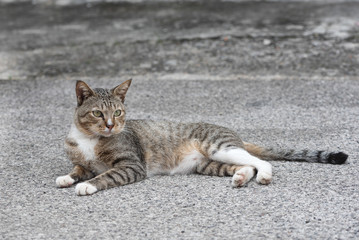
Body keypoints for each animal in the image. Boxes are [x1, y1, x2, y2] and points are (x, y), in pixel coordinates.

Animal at [55, 79, 348, 196]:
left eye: (117, 112)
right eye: (97, 113)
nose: (110, 126)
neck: (88, 138)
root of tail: (236, 135)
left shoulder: (131, 165)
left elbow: (105, 175)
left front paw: (87, 185)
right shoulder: (83, 161)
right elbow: (79, 168)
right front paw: (68, 178)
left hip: (219, 147)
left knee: (259, 162)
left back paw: (264, 175)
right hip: (208, 163)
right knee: (246, 166)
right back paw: (240, 177)